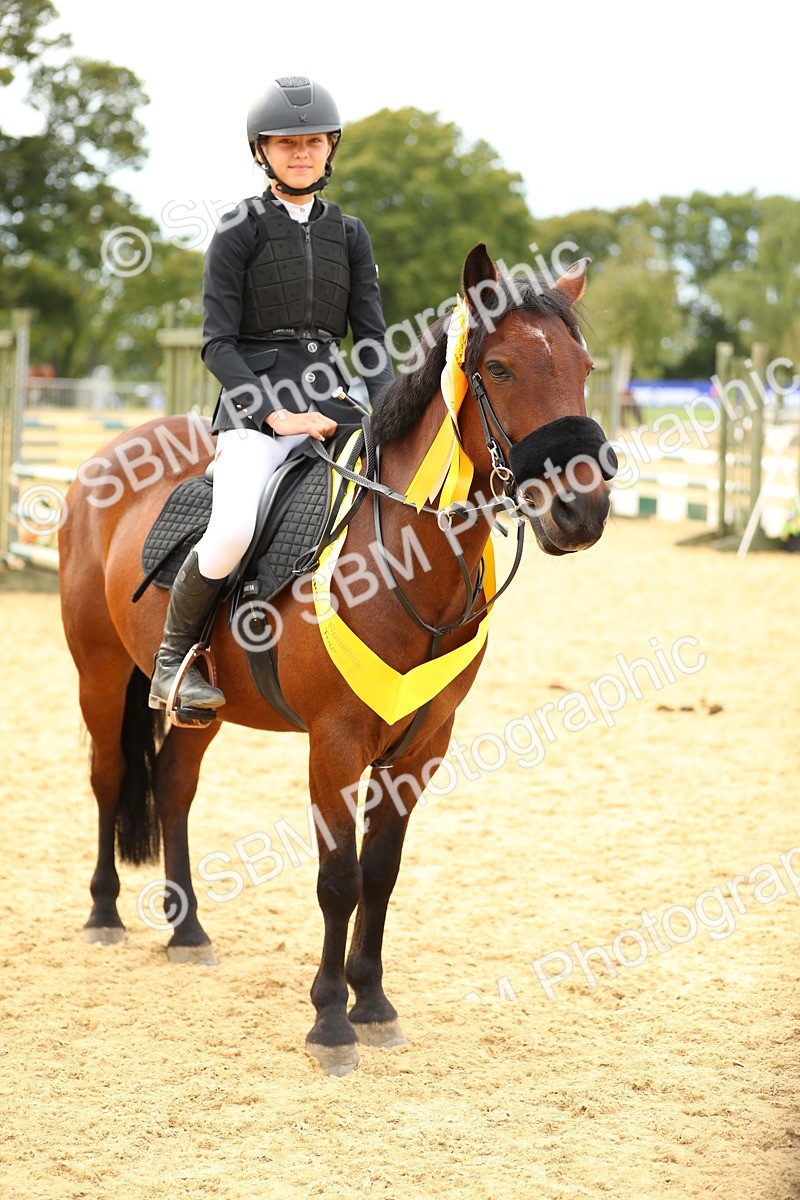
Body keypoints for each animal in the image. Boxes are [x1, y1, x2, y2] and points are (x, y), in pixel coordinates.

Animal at [58, 244, 615, 1076]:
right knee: (109, 776)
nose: (582, 511)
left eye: (583, 366)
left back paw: (187, 930)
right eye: (503, 367)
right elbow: (338, 877)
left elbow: (380, 873)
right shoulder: (336, 743)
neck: (402, 563)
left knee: (174, 786)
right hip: (98, 673)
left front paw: (374, 1003)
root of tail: (109, 453)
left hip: (199, 711)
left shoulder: (421, 746)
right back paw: (102, 913)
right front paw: (329, 1020)